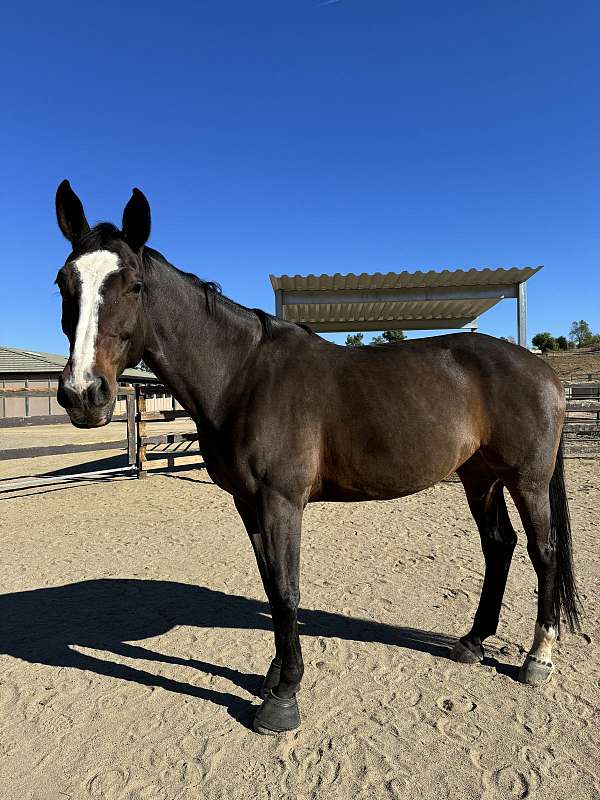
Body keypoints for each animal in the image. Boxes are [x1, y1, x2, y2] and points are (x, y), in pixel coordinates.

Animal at [54, 184, 580, 736]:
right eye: (64, 282)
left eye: (133, 285)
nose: (83, 394)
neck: (241, 376)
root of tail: (543, 371)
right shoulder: (249, 504)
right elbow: (271, 587)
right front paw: (272, 676)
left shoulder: (282, 502)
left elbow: (287, 590)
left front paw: (283, 698)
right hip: (479, 477)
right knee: (499, 546)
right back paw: (473, 641)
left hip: (527, 480)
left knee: (543, 553)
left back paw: (538, 659)